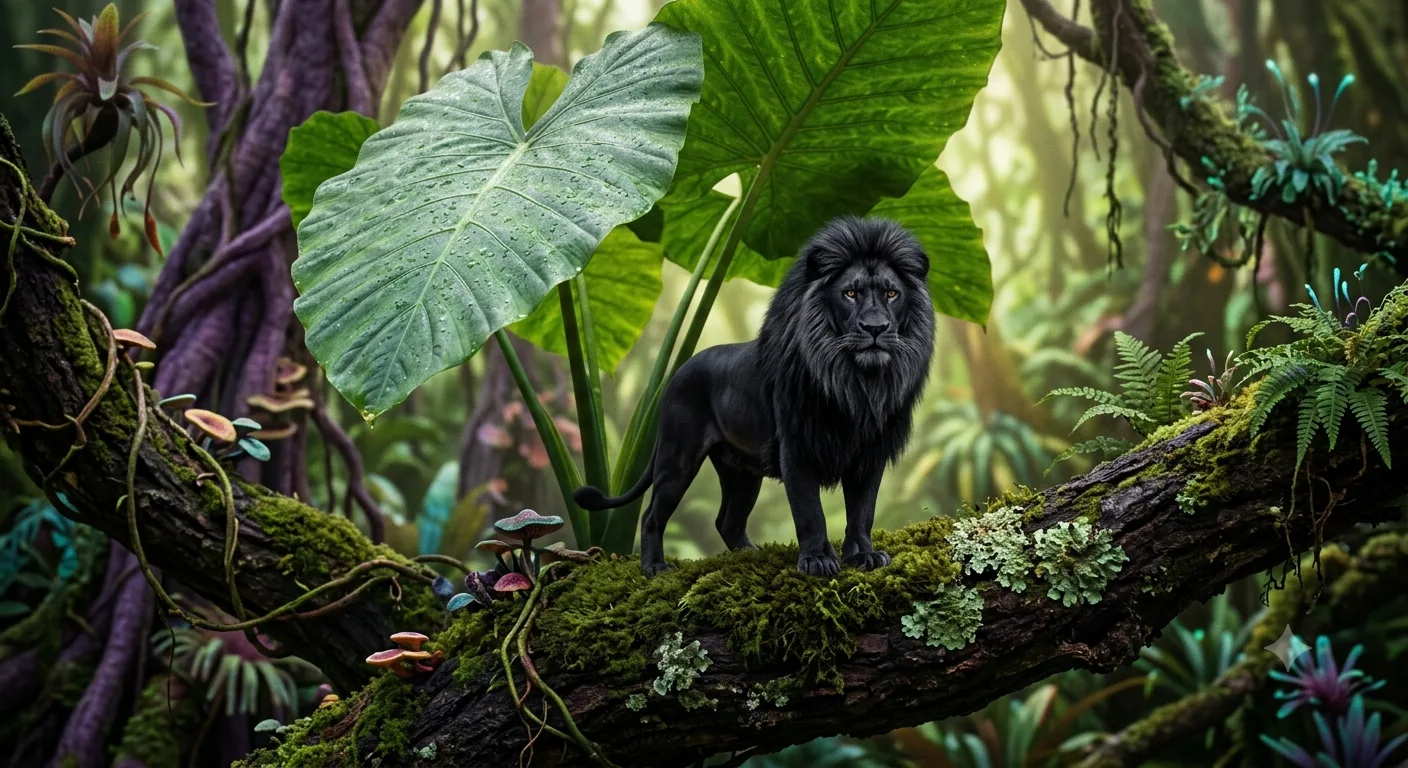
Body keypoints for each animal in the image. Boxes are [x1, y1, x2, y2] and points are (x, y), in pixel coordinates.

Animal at [574, 216, 936, 576]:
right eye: (850, 293)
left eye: (892, 293)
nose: (875, 328)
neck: (856, 382)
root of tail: (677, 372)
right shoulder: (796, 449)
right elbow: (810, 511)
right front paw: (818, 560)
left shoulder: (870, 453)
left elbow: (863, 511)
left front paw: (864, 556)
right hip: (678, 455)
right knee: (652, 515)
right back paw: (655, 567)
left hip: (742, 471)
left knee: (727, 521)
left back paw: (750, 557)